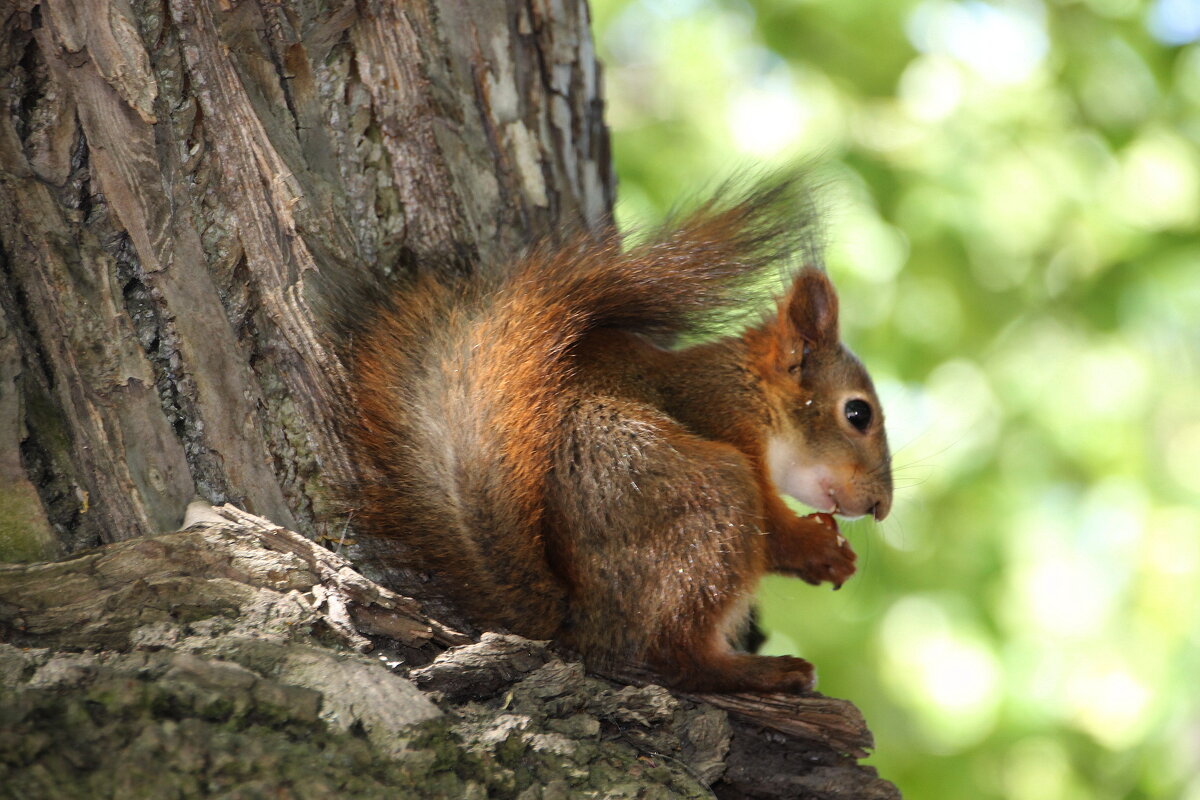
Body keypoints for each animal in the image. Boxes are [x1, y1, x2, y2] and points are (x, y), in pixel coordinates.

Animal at [343, 178, 897, 690]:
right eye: (858, 414)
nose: (881, 507)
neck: (748, 391)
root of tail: (582, 620)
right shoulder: (722, 419)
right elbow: (775, 532)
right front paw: (821, 549)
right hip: (711, 493)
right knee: (675, 654)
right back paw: (762, 673)